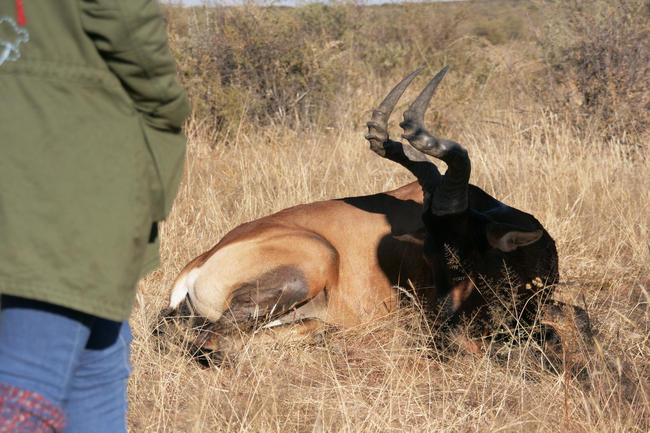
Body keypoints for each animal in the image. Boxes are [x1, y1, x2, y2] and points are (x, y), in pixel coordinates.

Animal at [157, 67, 556, 356]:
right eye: (432, 252)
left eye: (464, 249)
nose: (448, 334)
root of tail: (197, 264)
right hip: (315, 261)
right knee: (214, 338)